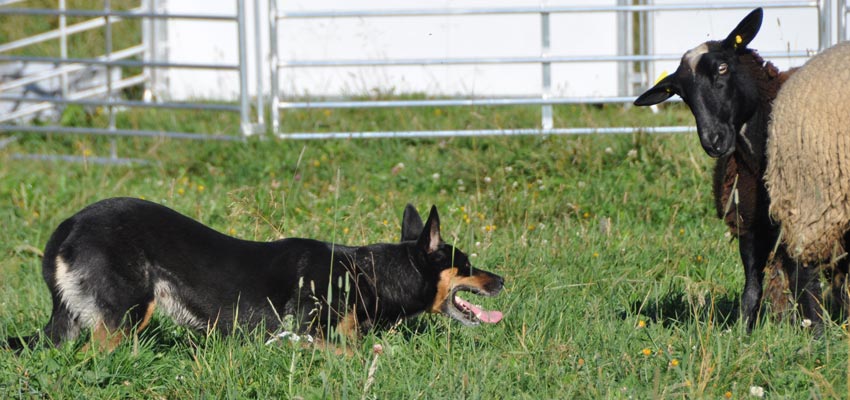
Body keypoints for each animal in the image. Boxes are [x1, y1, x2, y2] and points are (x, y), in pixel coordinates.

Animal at [3, 198, 500, 352]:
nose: (501, 280)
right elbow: (355, 352)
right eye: (467, 265)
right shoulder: (301, 334)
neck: (366, 273)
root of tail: (69, 225)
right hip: (125, 317)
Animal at [628, 7, 840, 332]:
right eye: (681, 93)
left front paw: (817, 335)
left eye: (723, 68)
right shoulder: (750, 221)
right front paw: (742, 332)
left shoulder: (808, 215)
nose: (712, 140)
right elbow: (753, 285)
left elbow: (805, 280)